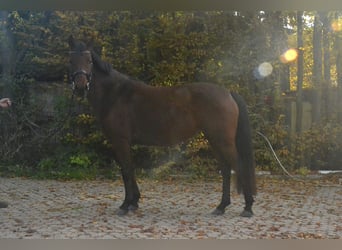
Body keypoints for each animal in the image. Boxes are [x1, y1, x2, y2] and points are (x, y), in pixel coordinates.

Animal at [67, 36, 256, 218]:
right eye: (71, 60)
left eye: (89, 60)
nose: (80, 86)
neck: (116, 94)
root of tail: (228, 93)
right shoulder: (124, 143)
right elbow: (130, 170)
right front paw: (134, 202)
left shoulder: (120, 141)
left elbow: (126, 171)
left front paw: (126, 205)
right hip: (214, 140)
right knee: (226, 170)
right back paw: (221, 206)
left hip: (223, 141)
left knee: (238, 166)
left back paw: (247, 207)